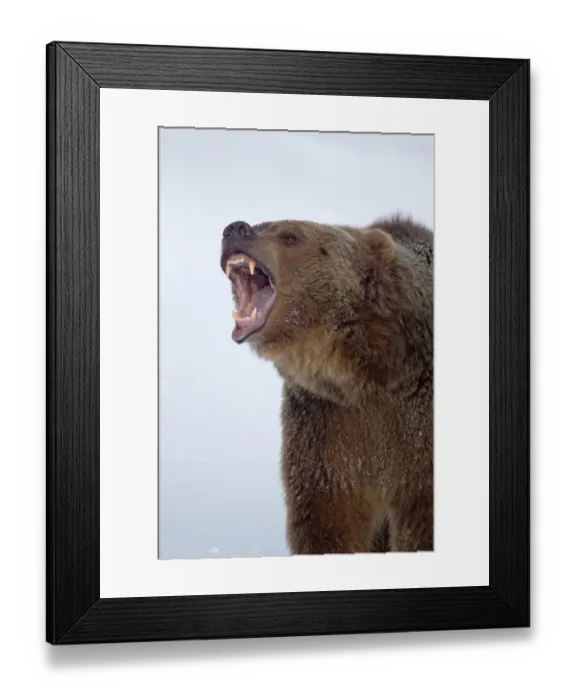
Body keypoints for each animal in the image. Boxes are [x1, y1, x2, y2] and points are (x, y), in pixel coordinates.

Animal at [219, 214, 433, 554]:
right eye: (263, 224)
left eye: (291, 235)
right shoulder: (326, 426)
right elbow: (328, 516)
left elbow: (420, 522)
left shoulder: (414, 426)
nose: (236, 228)